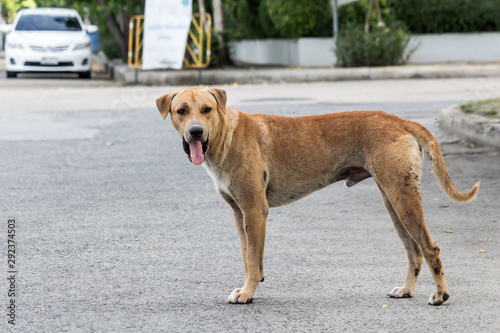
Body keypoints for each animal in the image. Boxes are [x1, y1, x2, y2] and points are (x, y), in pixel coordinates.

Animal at [157, 87, 480, 304]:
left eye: (207, 109)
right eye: (181, 110)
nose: (196, 132)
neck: (227, 136)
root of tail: (400, 121)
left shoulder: (254, 210)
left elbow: (252, 259)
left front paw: (247, 293)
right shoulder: (239, 214)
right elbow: (249, 257)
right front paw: (250, 285)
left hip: (403, 201)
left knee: (430, 247)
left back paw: (440, 294)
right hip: (394, 200)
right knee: (413, 251)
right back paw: (406, 290)